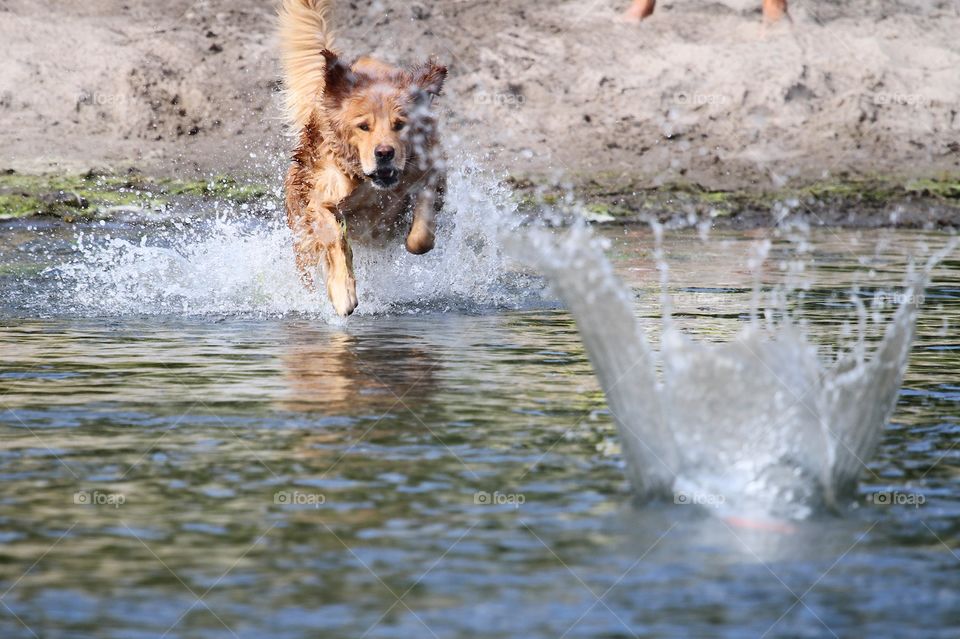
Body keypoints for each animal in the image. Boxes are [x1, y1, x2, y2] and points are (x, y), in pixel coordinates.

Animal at [276, 0, 444, 316]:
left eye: (400, 124)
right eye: (363, 126)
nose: (384, 153)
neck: (370, 184)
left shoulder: (431, 171)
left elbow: (421, 235)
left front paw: (411, 235)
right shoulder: (322, 200)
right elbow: (335, 240)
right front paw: (343, 292)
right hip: (300, 231)